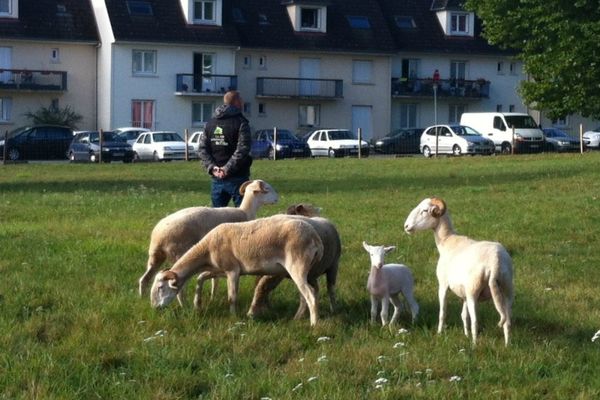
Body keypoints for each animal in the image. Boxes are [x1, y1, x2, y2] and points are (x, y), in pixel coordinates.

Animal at [139, 179, 280, 304]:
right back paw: (185, 306)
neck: (245, 211)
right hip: (178, 253)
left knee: (144, 279)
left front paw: (212, 296)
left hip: (155, 256)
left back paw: (142, 299)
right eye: (267, 190)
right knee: (179, 287)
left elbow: (214, 279)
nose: (277, 199)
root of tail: (158, 236)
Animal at [152, 216, 326, 324]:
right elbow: (201, 278)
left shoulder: (232, 270)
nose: (155, 309)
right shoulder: (220, 269)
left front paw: (233, 317)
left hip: (297, 265)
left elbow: (232, 296)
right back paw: (297, 318)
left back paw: (314, 324)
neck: (207, 250)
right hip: (306, 270)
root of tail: (315, 238)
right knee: (306, 295)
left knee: (310, 294)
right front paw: (197, 304)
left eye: (160, 288)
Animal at [400, 198, 512, 346]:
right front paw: (465, 335)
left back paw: (474, 345)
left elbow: (443, 312)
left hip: (473, 291)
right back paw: (507, 345)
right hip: (507, 290)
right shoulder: (463, 293)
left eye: (424, 210)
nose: (406, 226)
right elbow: (463, 316)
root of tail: (495, 261)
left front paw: (440, 333)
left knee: (475, 321)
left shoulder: (443, 285)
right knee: (507, 321)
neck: (447, 241)